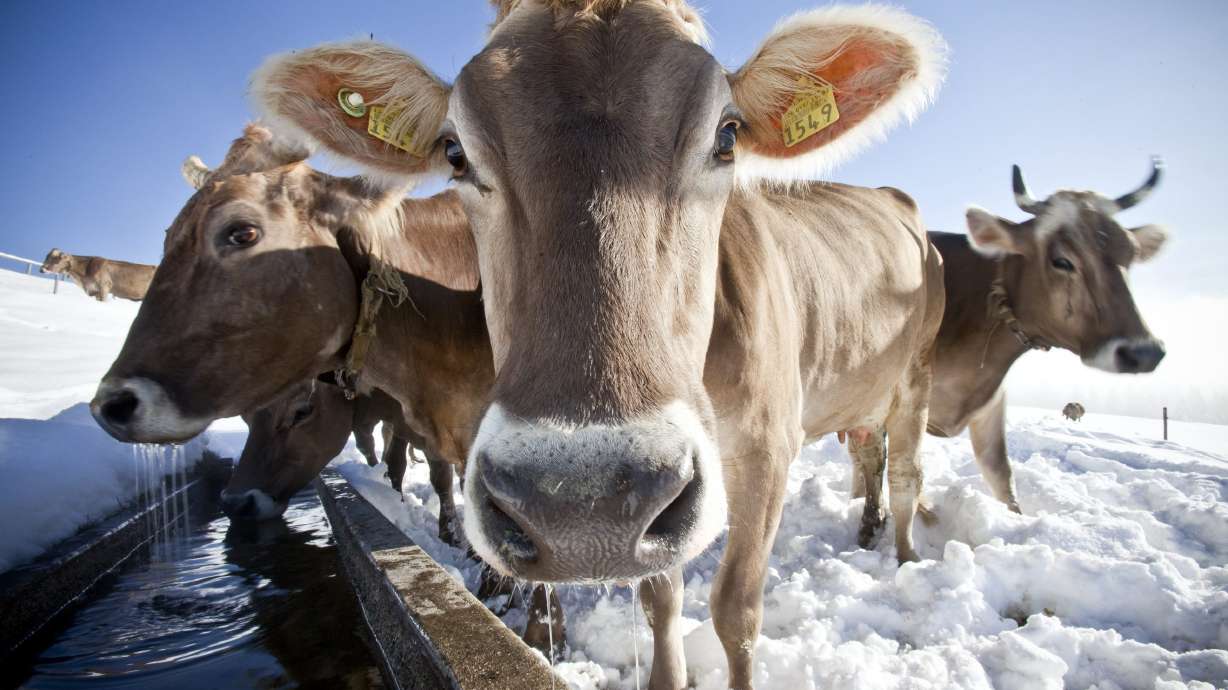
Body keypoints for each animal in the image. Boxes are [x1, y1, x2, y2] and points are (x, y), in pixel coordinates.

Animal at [248, 3, 947, 686]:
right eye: (453, 152)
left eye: (726, 136)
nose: (579, 510)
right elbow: (660, 598)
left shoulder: (769, 448)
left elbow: (736, 612)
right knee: (871, 450)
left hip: (917, 373)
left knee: (906, 470)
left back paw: (907, 558)